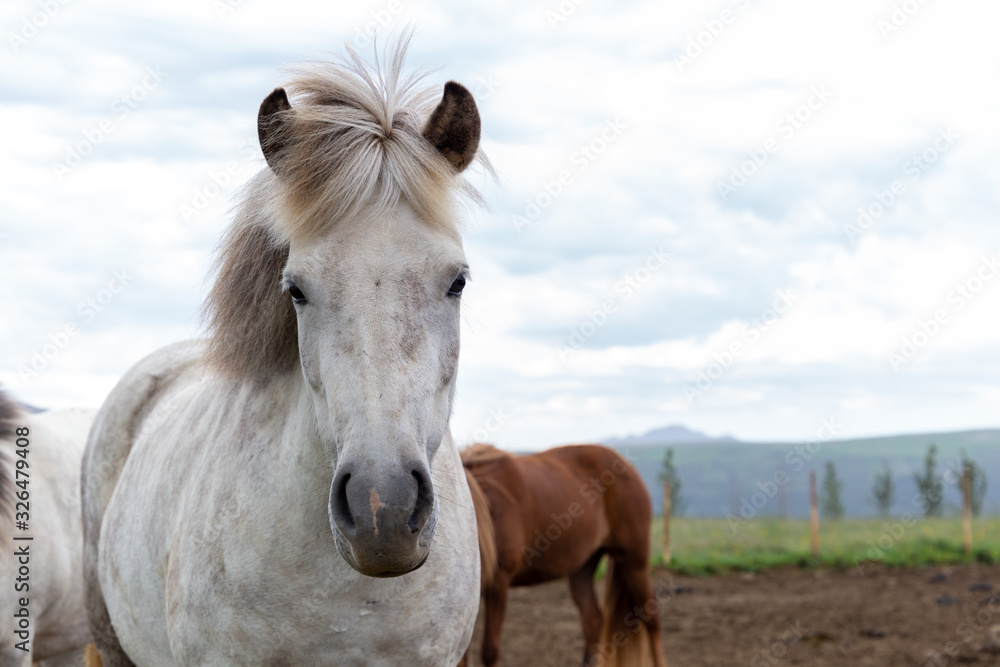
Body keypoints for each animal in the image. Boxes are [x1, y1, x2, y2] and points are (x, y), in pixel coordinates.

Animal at [460, 444, 667, 667]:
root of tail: (626, 466)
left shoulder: (498, 582)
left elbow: (489, 651)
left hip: (633, 563)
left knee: (651, 617)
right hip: (583, 569)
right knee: (593, 620)